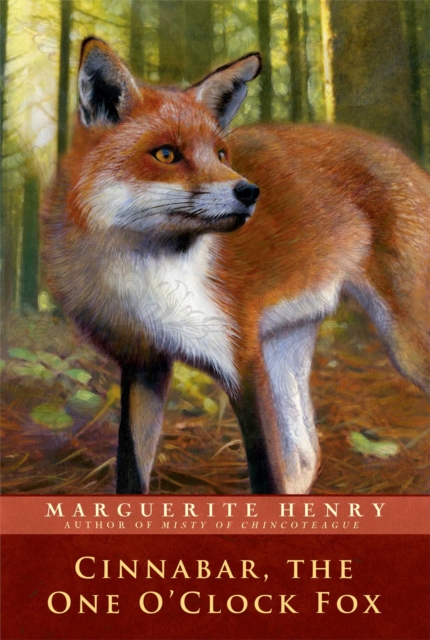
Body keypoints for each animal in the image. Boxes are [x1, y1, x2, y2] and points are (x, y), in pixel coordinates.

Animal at [44, 37, 430, 495]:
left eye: (221, 153)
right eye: (167, 154)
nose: (249, 192)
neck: (143, 277)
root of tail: (403, 156)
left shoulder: (241, 359)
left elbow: (265, 476)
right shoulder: (143, 365)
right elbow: (131, 473)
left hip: (406, 345)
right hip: (285, 347)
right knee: (306, 457)